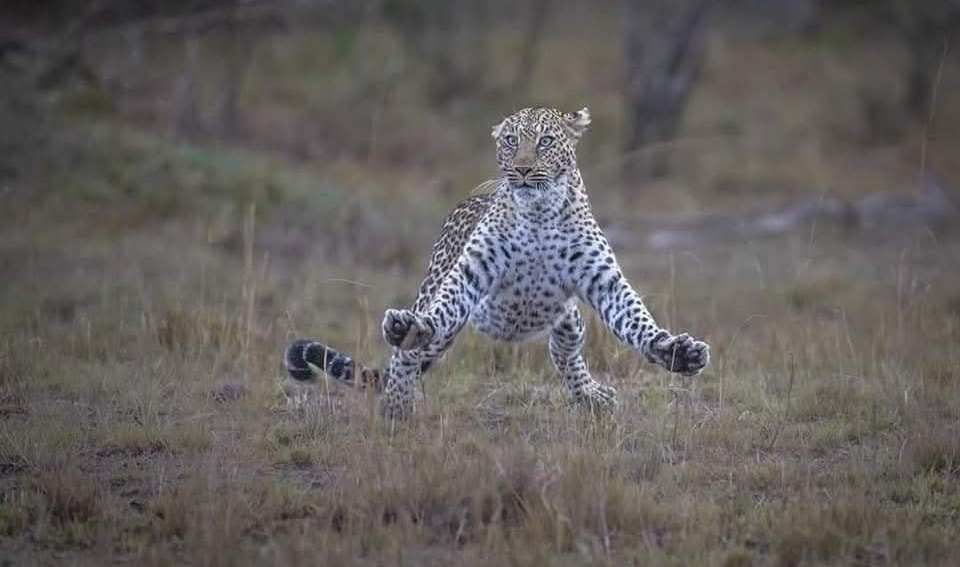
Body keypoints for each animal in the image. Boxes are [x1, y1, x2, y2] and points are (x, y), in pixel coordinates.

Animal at [285, 106, 710, 420]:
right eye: (511, 141)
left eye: (545, 141)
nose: (521, 169)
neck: (539, 214)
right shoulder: (471, 273)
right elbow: (441, 310)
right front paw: (410, 332)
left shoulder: (603, 281)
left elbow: (636, 319)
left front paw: (677, 352)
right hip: (438, 298)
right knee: (408, 355)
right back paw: (397, 403)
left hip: (568, 319)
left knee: (565, 351)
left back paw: (591, 396)